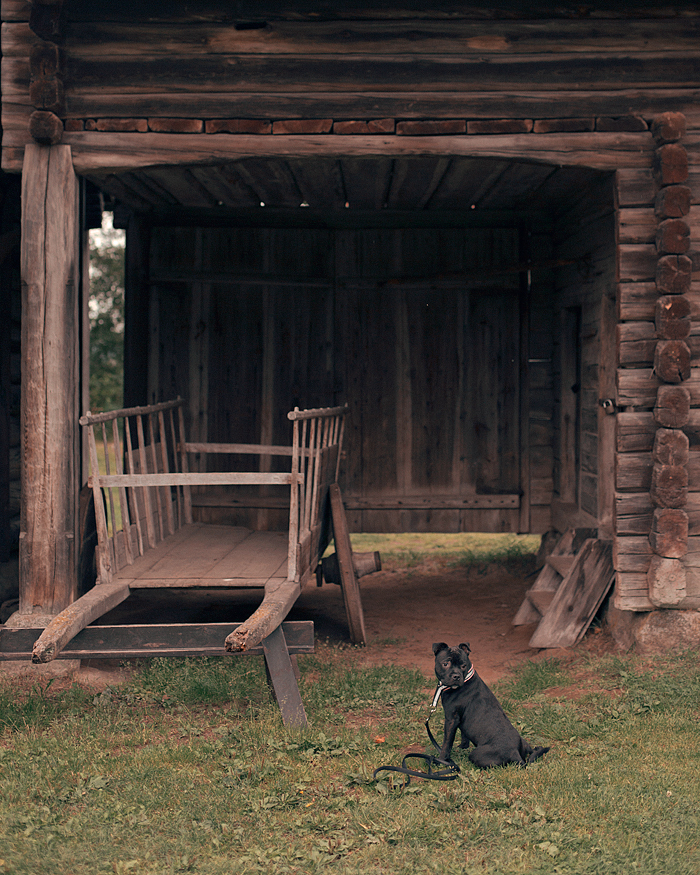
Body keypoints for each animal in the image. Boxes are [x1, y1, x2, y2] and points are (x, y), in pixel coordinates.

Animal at [432, 640, 552, 768]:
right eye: (445, 664)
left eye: (463, 665)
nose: (456, 676)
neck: (466, 679)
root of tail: (515, 753)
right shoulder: (459, 719)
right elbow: (464, 735)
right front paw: (462, 747)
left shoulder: (451, 719)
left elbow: (446, 743)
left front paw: (441, 760)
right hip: (523, 743)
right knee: (532, 751)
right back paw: (537, 749)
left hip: (477, 754)